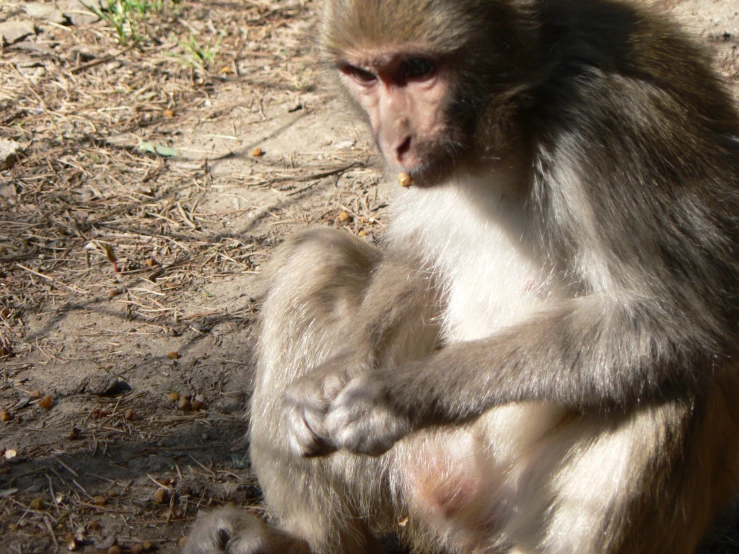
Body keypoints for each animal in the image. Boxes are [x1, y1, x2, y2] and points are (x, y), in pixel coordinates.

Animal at [184, 1, 739, 552]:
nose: (395, 140)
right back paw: (302, 539)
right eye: (365, 75)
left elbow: (671, 321)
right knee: (316, 258)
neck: (517, 112)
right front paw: (334, 373)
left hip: (511, 509)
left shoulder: (613, 126)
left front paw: (401, 396)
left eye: (418, 69)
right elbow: (420, 256)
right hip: (416, 476)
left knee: (672, 387)